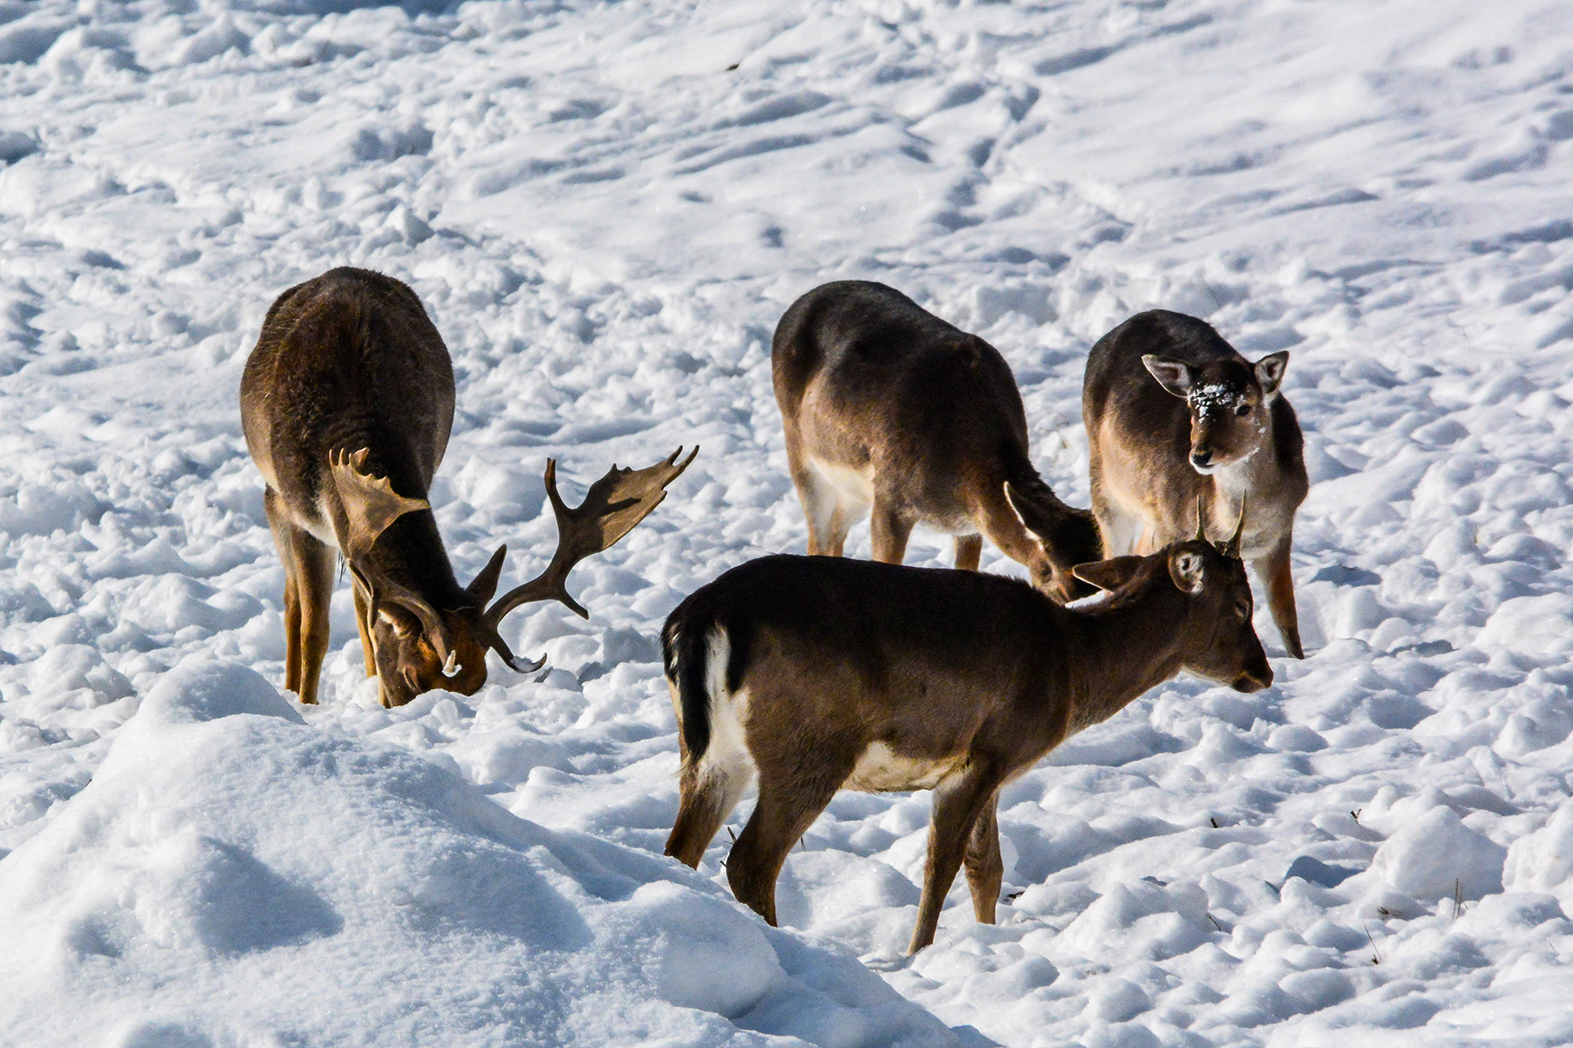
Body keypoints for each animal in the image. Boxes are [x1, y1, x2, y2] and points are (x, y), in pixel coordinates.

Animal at [237, 265, 695, 704]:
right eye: (411, 675)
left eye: (478, 683)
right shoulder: (300, 515)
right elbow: (315, 629)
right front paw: (305, 706)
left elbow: (366, 614)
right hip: (273, 500)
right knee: (293, 602)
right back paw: (291, 686)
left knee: (357, 602)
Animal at [657, 506, 1270, 956]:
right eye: (1243, 605)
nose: (1262, 671)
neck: (1072, 664)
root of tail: (701, 618)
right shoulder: (988, 751)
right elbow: (941, 865)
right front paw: (918, 954)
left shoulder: (995, 768)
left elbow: (986, 867)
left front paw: (986, 940)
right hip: (810, 746)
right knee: (750, 862)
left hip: (709, 752)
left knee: (680, 848)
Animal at [770, 281, 1094, 601]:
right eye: (1056, 576)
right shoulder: (889, 495)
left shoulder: (969, 527)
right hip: (802, 456)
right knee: (818, 537)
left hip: (853, 490)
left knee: (836, 533)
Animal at [1082, 306, 1315, 657]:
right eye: (1193, 405)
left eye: (1244, 407)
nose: (1200, 455)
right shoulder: (1174, 524)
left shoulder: (1280, 533)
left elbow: (1286, 617)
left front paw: (1298, 660)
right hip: (1105, 484)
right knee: (1112, 550)